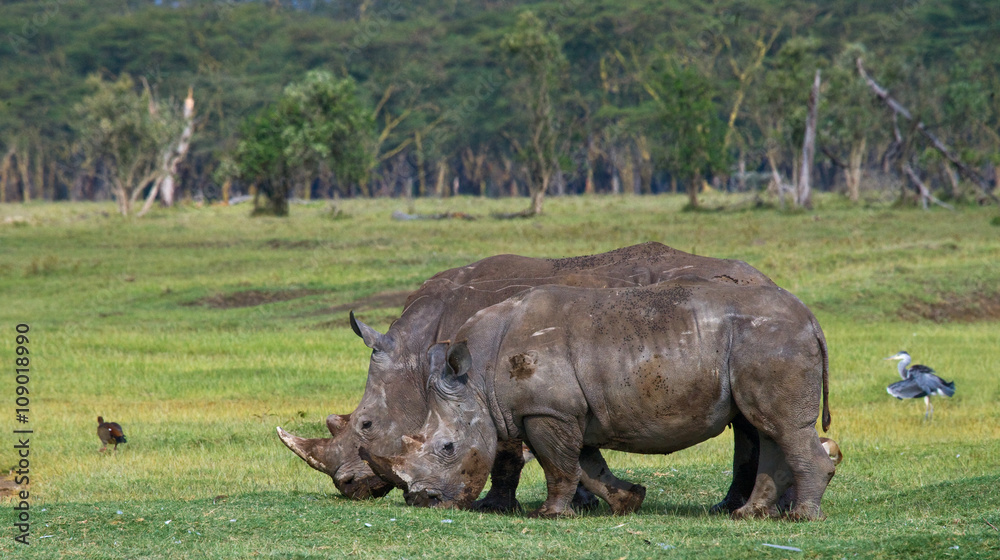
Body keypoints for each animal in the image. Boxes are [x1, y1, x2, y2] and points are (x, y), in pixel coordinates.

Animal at [277, 242, 776, 512]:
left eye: (366, 425)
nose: (348, 488)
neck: (416, 356)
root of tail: (766, 281)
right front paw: (586, 501)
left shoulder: (490, 384)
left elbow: (504, 450)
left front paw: (495, 507)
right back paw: (729, 506)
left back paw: (730, 507)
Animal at [362, 279, 834, 520]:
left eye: (447, 447)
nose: (422, 500)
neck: (476, 377)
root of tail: (811, 318)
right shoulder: (568, 411)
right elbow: (587, 466)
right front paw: (630, 500)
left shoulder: (546, 410)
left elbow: (557, 465)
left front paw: (551, 515)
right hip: (765, 344)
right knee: (765, 427)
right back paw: (749, 515)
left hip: (771, 342)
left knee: (783, 428)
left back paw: (802, 517)